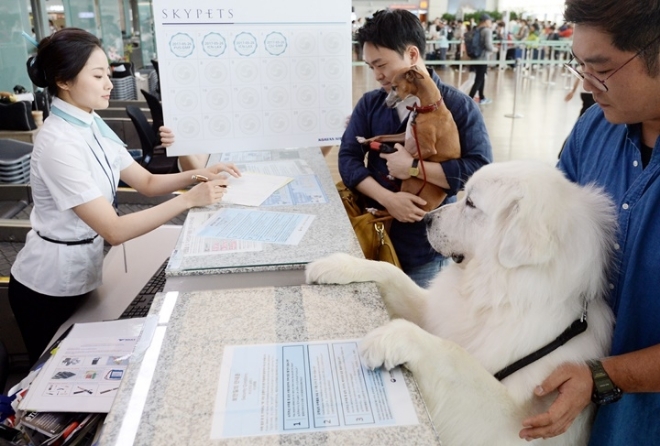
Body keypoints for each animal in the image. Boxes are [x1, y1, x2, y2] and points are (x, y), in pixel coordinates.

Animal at [306, 161, 616, 446]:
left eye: (471, 203)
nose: (426, 219)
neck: (496, 295)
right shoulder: (435, 312)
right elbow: (390, 272)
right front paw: (337, 265)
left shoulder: (513, 427)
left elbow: (454, 355)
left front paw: (392, 336)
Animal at [360, 66, 458, 213]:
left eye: (394, 87)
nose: (384, 104)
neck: (428, 108)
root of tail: (426, 209)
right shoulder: (404, 135)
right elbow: (383, 135)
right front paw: (365, 140)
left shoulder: (429, 149)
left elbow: (410, 156)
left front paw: (393, 173)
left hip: (410, 183)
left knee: (393, 210)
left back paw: (375, 210)